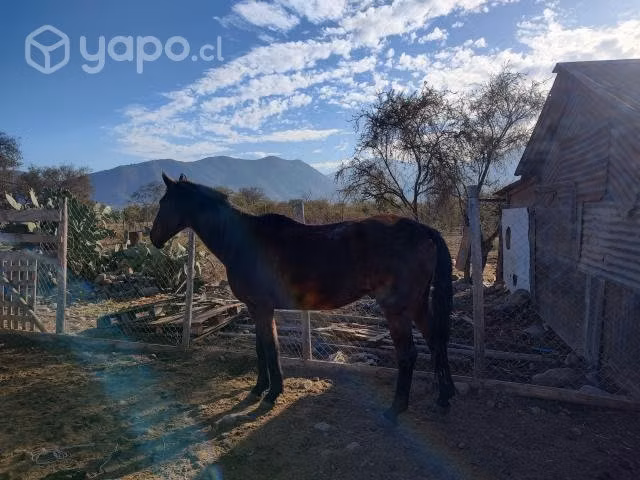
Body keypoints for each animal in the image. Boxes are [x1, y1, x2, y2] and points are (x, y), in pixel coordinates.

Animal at [150, 173, 455, 422]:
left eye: (164, 202)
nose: (153, 238)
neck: (242, 241)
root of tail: (423, 229)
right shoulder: (255, 308)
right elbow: (260, 348)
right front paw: (258, 389)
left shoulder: (263, 308)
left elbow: (271, 348)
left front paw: (272, 394)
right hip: (417, 304)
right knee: (436, 341)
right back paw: (444, 397)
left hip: (396, 309)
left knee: (409, 354)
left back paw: (395, 409)